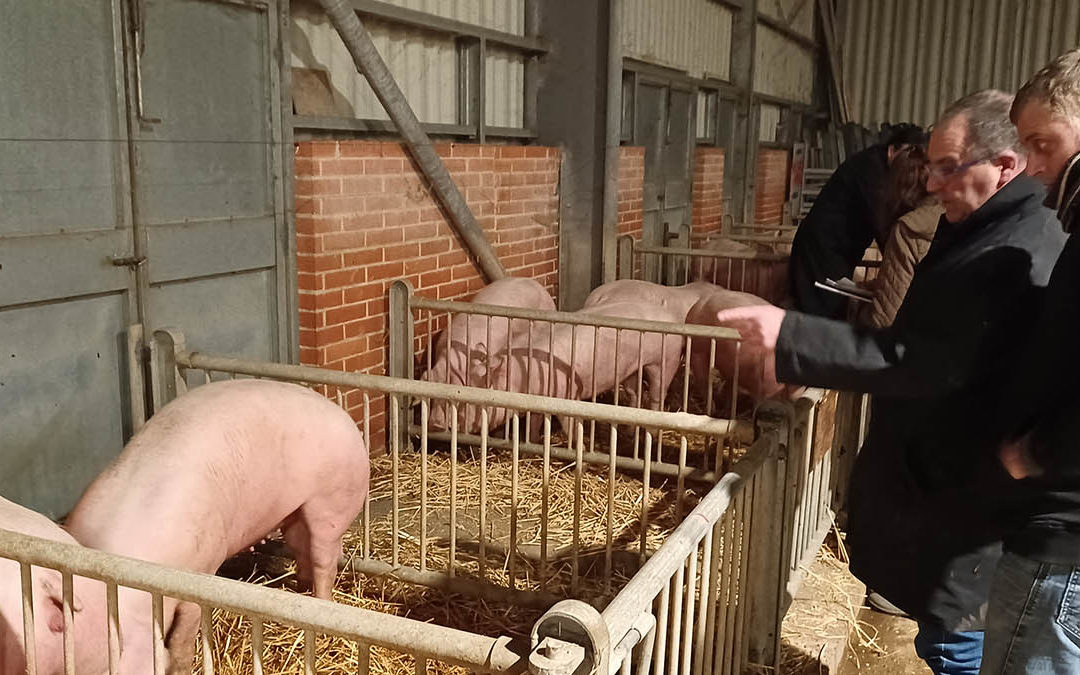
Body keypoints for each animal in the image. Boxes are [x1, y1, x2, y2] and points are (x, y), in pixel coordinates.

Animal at [68, 380, 371, 673]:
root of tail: (347, 421)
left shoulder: (197, 574)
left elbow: (181, 643)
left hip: (332, 502)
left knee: (324, 560)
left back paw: (321, 603)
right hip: (296, 512)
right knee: (302, 547)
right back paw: (302, 589)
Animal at [457, 302, 678, 434]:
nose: (451, 423)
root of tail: (669, 314)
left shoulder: (566, 396)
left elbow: (569, 428)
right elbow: (535, 424)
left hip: (664, 361)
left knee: (658, 395)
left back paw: (652, 433)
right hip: (631, 370)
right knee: (634, 394)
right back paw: (630, 432)